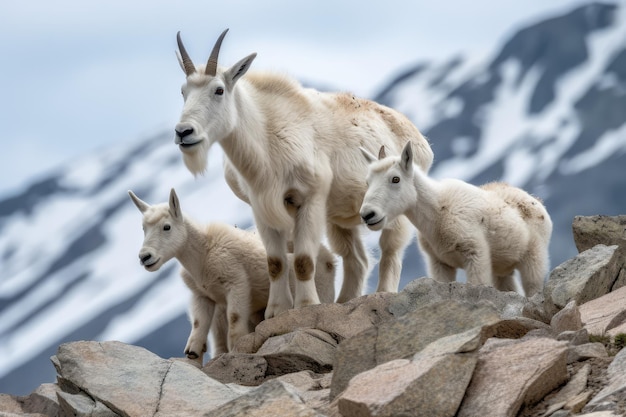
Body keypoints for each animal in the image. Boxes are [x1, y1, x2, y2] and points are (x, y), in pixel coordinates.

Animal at [127, 188, 336, 360]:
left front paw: (237, 346)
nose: (145, 257)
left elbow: (234, 318)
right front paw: (192, 351)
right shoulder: (202, 295)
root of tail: (329, 257)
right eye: (144, 228)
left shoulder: (236, 283)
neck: (202, 256)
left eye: (167, 226)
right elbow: (198, 323)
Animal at [173, 28, 432, 316]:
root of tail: (417, 137)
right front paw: (276, 311)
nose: (184, 132)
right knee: (356, 258)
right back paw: (344, 301)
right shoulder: (261, 207)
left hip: (392, 205)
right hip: (338, 217)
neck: (266, 138)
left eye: (218, 90)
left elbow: (304, 260)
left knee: (390, 249)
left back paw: (383, 293)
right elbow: (275, 263)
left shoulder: (309, 198)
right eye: (183, 91)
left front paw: (307, 306)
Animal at [358, 143, 548, 296]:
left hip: (534, 256)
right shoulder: (439, 261)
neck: (436, 212)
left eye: (395, 179)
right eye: (367, 181)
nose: (368, 215)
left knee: (532, 285)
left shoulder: (475, 253)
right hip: (502, 267)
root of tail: (536, 200)